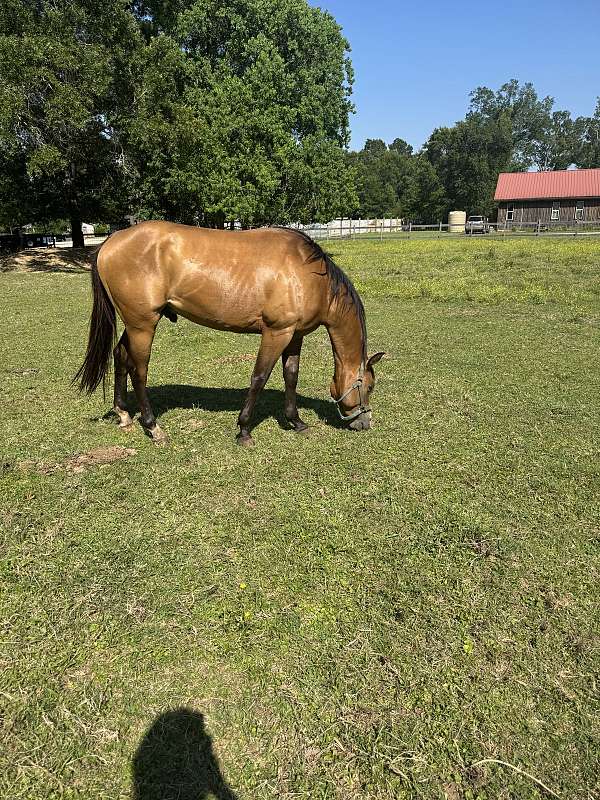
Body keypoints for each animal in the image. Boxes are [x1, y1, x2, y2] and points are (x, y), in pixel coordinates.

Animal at [75, 221, 384, 445]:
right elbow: (259, 377)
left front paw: (296, 422)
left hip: (135, 324)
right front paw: (244, 430)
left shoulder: (295, 335)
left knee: (120, 356)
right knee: (139, 370)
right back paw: (153, 427)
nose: (365, 423)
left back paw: (123, 413)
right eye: (369, 387)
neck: (309, 275)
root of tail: (111, 241)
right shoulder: (276, 332)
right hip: (142, 325)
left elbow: (291, 377)